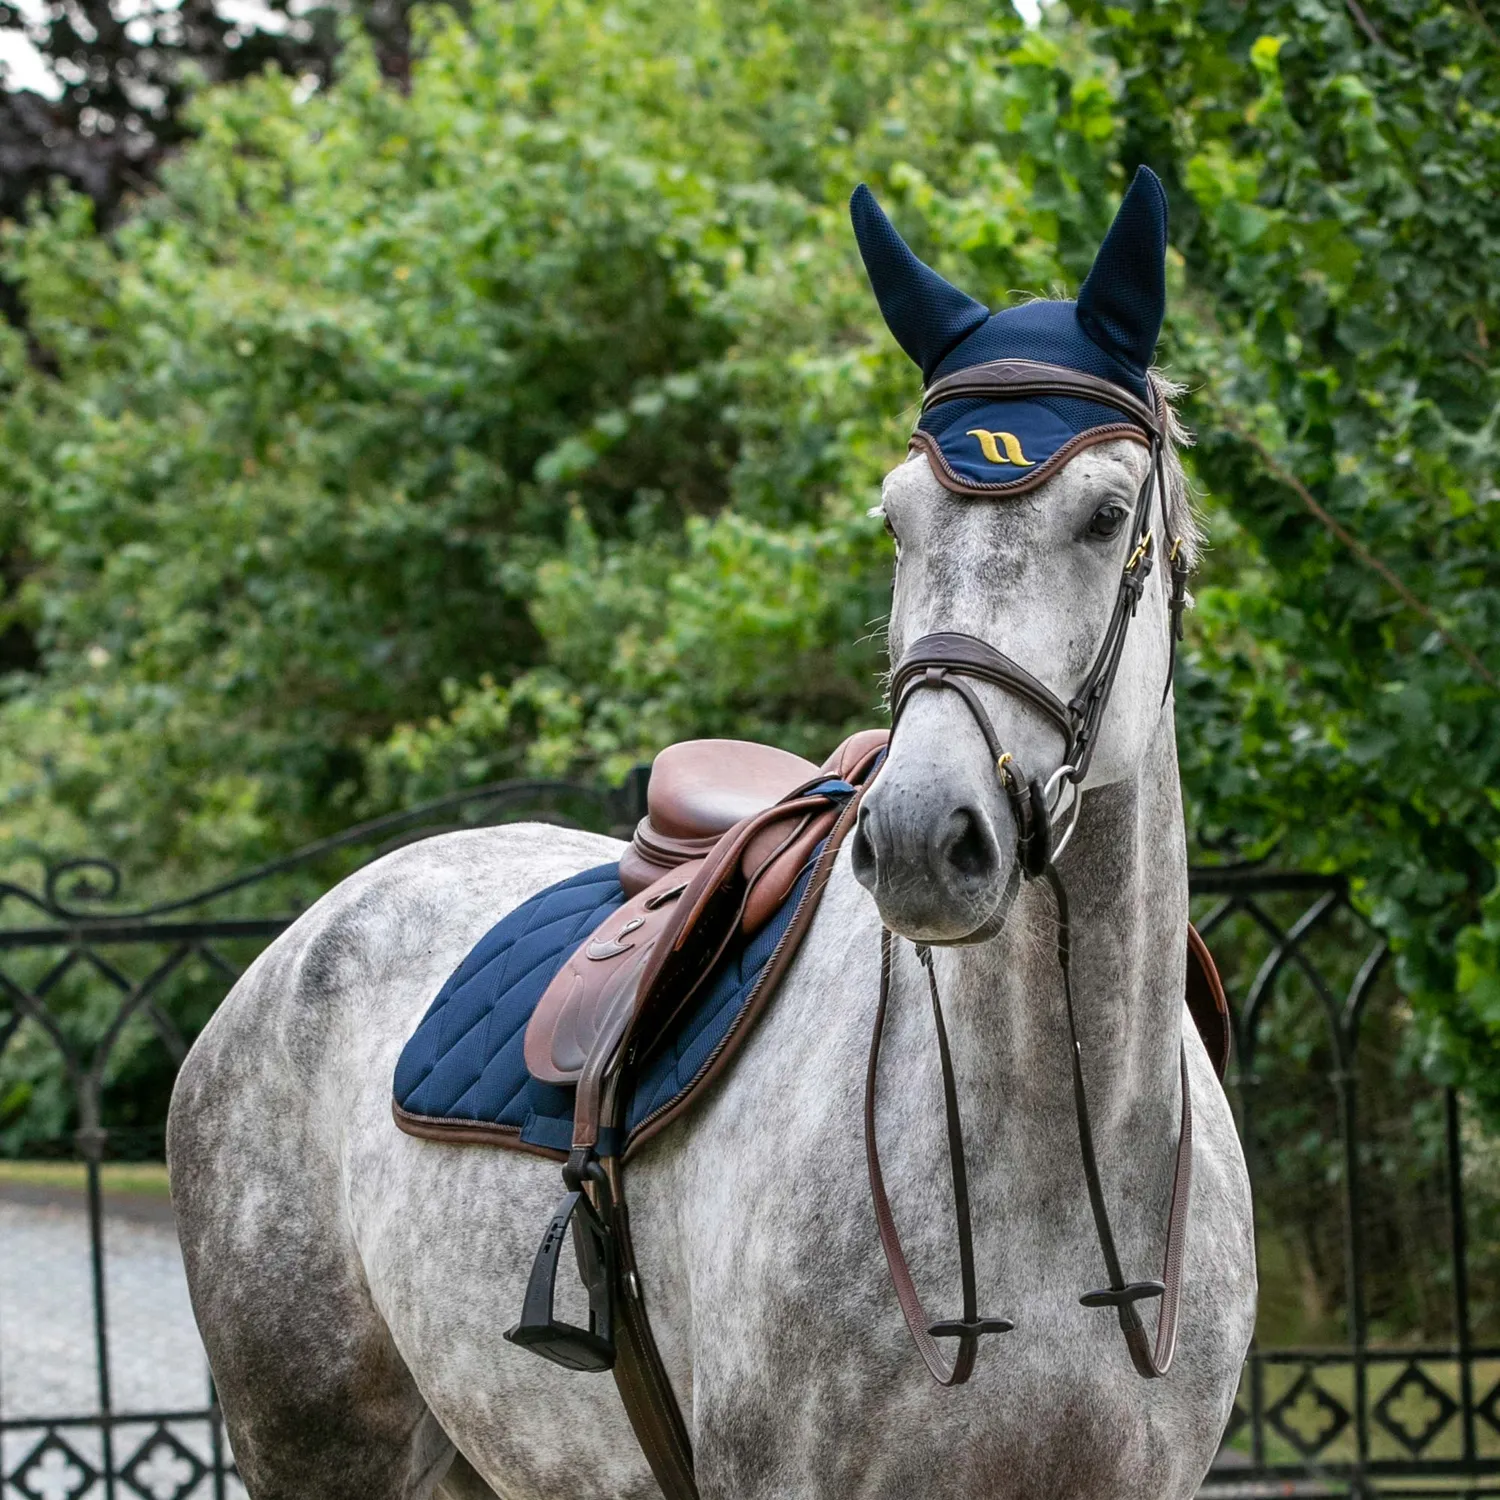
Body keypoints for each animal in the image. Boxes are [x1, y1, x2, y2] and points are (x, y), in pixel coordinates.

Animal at [168, 172, 1256, 1500]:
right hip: (318, 1448)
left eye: (1106, 518)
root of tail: (294, 947)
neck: (1057, 1156)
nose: (922, 837)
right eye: (896, 520)